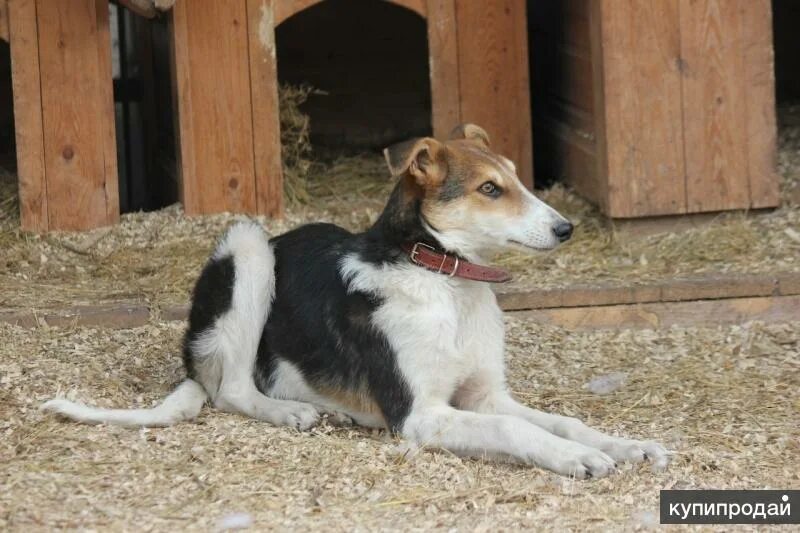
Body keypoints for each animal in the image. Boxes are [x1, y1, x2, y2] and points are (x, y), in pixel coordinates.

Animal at [43, 123, 668, 478]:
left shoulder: (486, 396)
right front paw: (575, 459)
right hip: (248, 247)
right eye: (490, 189)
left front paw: (624, 445)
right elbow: (519, 432)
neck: (445, 280)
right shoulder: (420, 414)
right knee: (233, 390)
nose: (567, 229)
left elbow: (562, 420)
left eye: (516, 179)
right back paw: (289, 410)